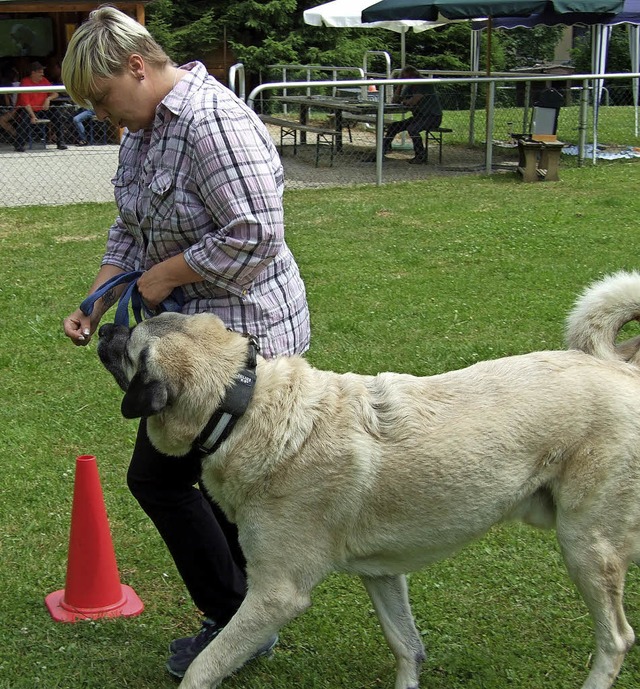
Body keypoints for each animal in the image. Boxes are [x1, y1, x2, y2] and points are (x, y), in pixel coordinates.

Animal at [96, 268, 640, 688]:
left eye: (130, 345)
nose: (101, 329)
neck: (243, 405)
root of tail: (624, 372)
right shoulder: (382, 575)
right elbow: (409, 647)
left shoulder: (275, 594)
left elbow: (204, 668)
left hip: (585, 546)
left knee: (616, 639)